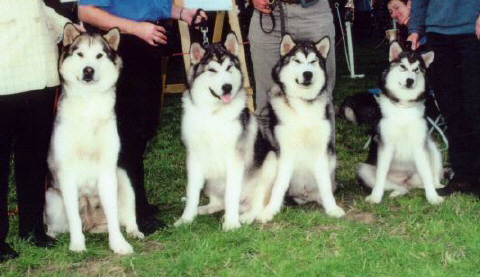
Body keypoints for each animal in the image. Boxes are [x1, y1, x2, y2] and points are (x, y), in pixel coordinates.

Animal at [46, 22, 144, 253]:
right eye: (80, 54)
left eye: (99, 55)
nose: (88, 70)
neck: (88, 107)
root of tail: (91, 224)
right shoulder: (67, 173)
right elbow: (73, 217)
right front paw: (77, 244)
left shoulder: (107, 171)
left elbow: (113, 214)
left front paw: (118, 244)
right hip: (52, 197)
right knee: (57, 224)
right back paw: (51, 234)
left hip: (123, 178)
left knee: (126, 218)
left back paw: (134, 231)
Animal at [358, 41, 444, 205]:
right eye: (403, 67)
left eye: (416, 70)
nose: (410, 81)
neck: (403, 107)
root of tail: (406, 182)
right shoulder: (386, 146)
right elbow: (381, 174)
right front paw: (375, 197)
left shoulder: (420, 146)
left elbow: (427, 174)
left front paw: (433, 197)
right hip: (363, 170)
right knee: (399, 187)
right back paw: (396, 192)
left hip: (432, 149)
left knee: (431, 177)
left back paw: (438, 186)